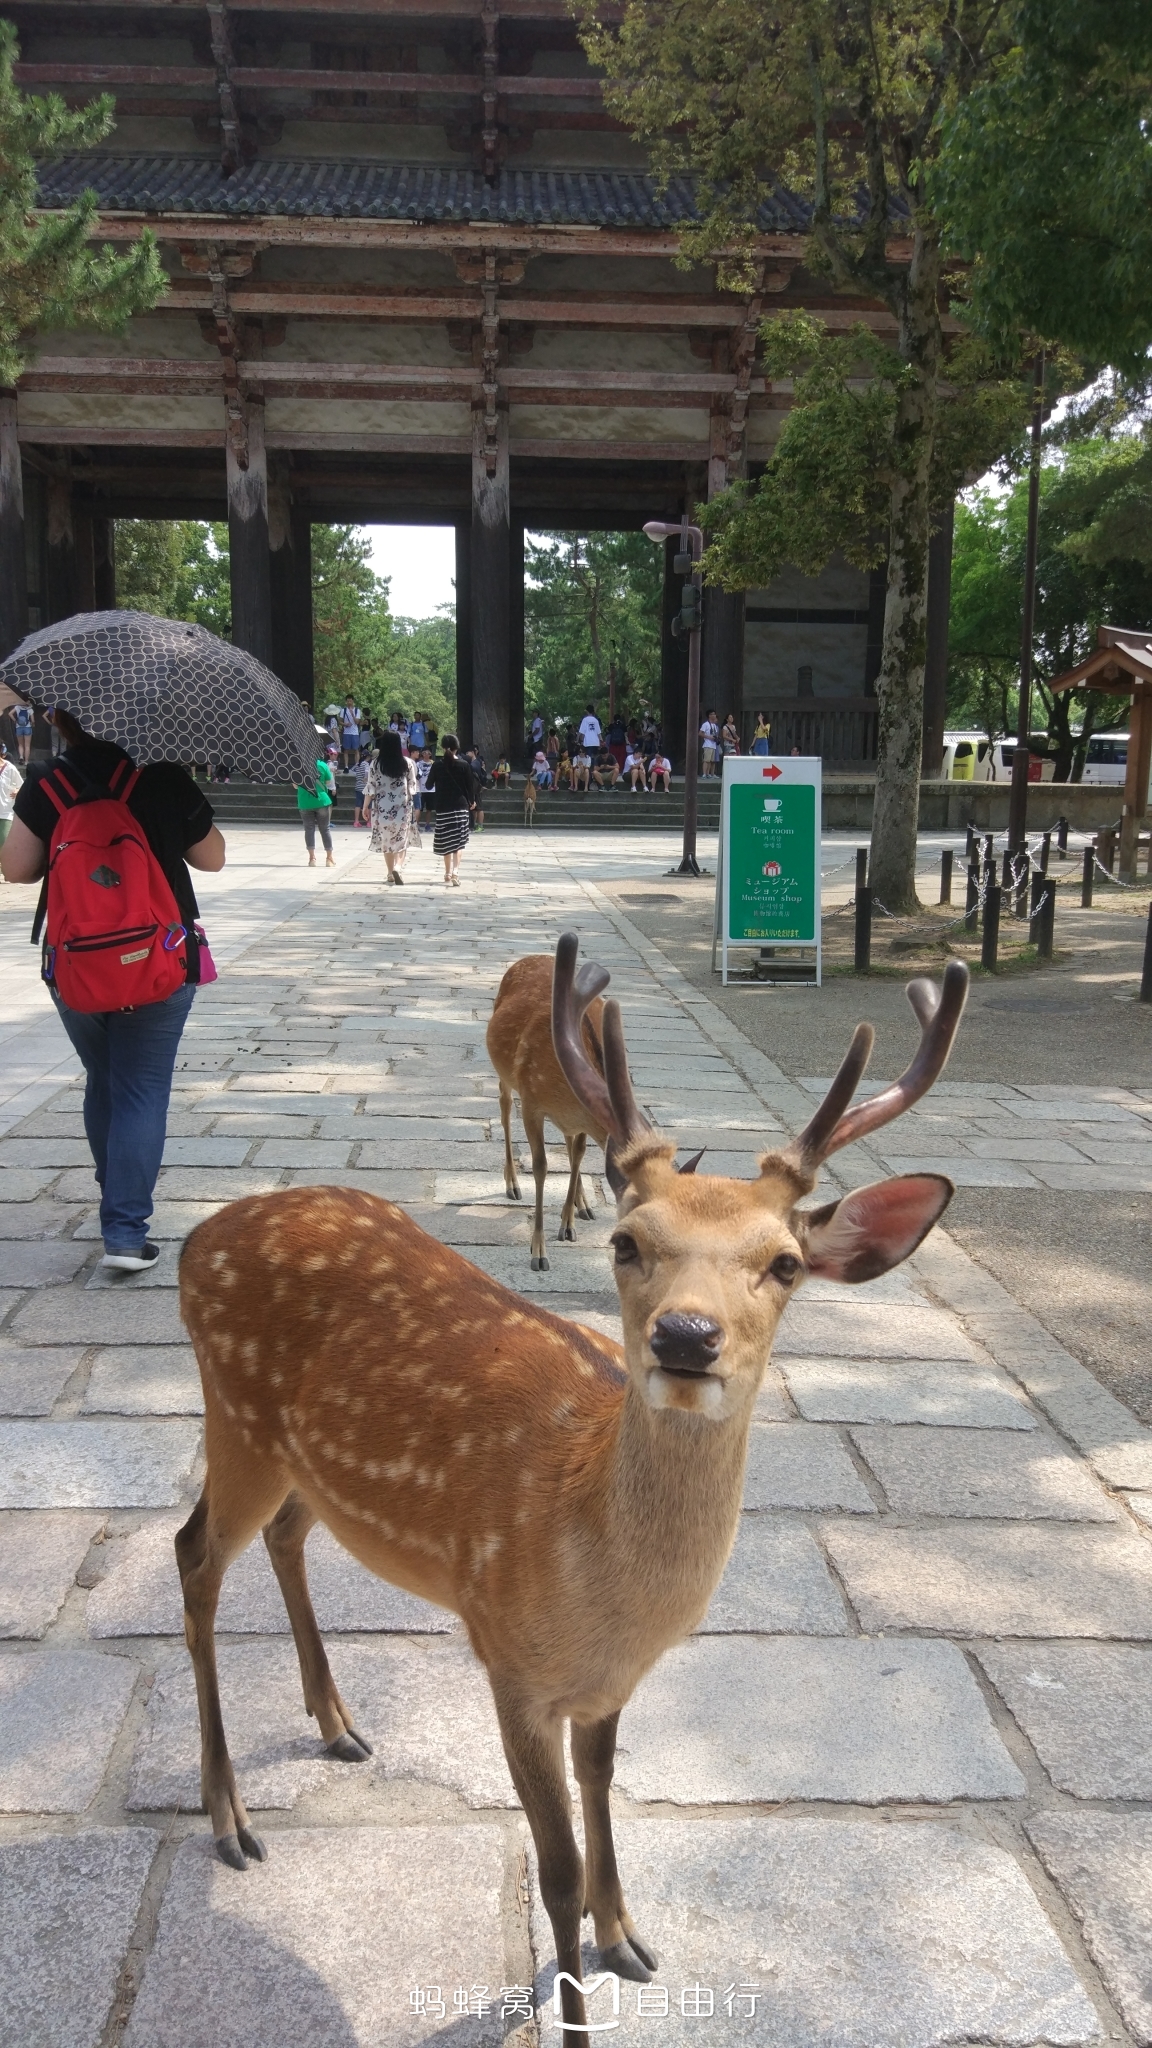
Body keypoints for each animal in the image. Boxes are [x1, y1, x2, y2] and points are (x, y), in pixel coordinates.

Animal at [175, 933, 963, 2031]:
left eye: (785, 1262)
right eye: (627, 1240)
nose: (686, 1336)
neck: (608, 1597)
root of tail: (198, 1238)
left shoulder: (605, 1684)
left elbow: (605, 1787)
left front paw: (625, 1931)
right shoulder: (509, 1659)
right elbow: (549, 1873)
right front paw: (576, 1985)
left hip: (297, 1457)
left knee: (285, 1537)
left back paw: (337, 1725)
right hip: (234, 1414)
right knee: (194, 1553)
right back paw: (227, 1813)